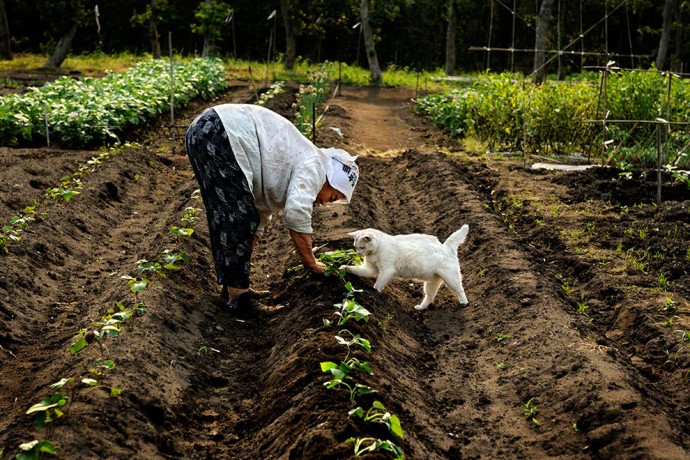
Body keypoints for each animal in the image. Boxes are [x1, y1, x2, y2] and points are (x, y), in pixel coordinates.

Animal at [338, 226, 468, 310]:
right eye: (355, 247)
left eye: (362, 247)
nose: (358, 253)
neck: (374, 253)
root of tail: (446, 247)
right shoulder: (369, 269)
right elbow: (355, 269)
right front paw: (343, 267)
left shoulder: (387, 271)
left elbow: (378, 284)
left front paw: (374, 293)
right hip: (431, 283)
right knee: (430, 297)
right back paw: (421, 308)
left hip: (451, 279)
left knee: (460, 290)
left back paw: (464, 303)